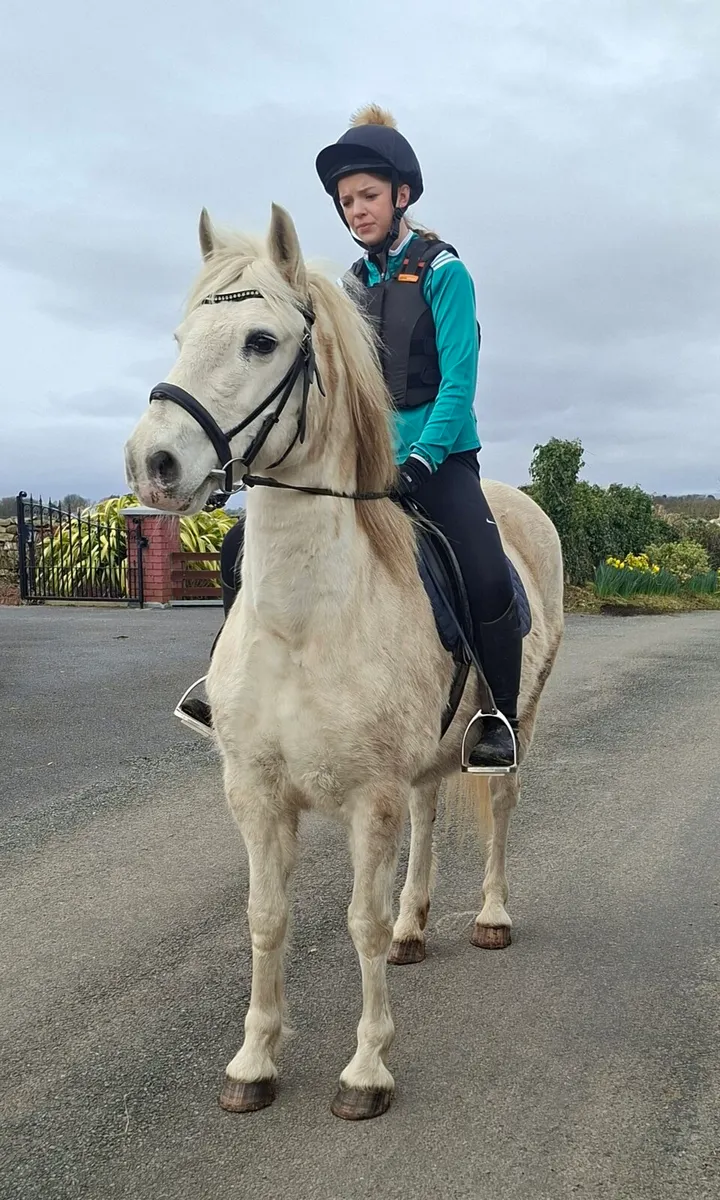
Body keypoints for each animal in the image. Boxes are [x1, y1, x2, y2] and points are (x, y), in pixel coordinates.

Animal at [124, 203, 564, 1121]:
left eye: (259, 340)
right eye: (182, 334)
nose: (153, 464)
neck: (304, 623)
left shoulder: (369, 798)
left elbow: (356, 920)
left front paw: (366, 1069)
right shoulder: (256, 794)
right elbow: (266, 917)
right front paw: (254, 1060)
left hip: (517, 724)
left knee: (502, 807)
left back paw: (491, 916)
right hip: (427, 760)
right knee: (431, 818)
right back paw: (414, 927)